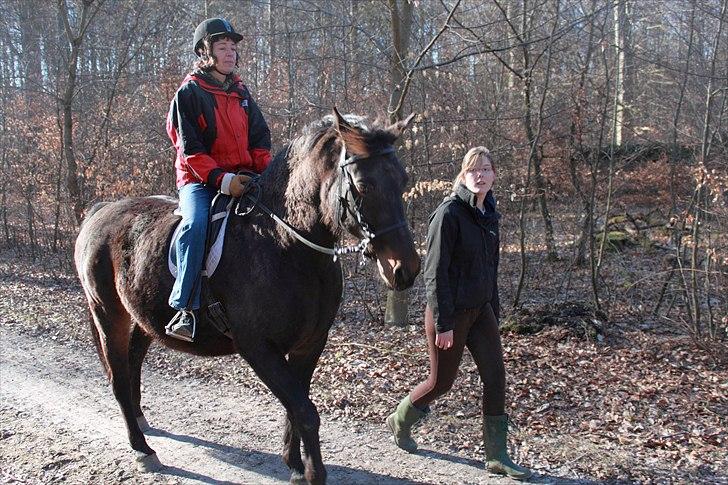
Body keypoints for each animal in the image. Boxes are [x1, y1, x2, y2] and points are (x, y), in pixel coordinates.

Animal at [74, 110, 420, 484]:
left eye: (402, 180)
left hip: (142, 318)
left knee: (133, 362)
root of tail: (100, 211)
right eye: (364, 185)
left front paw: (293, 464)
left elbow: (295, 406)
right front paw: (312, 473)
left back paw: (140, 421)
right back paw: (142, 449)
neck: (285, 243)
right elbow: (304, 410)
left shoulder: (310, 344)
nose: (405, 268)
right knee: (119, 377)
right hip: (108, 314)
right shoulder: (258, 348)